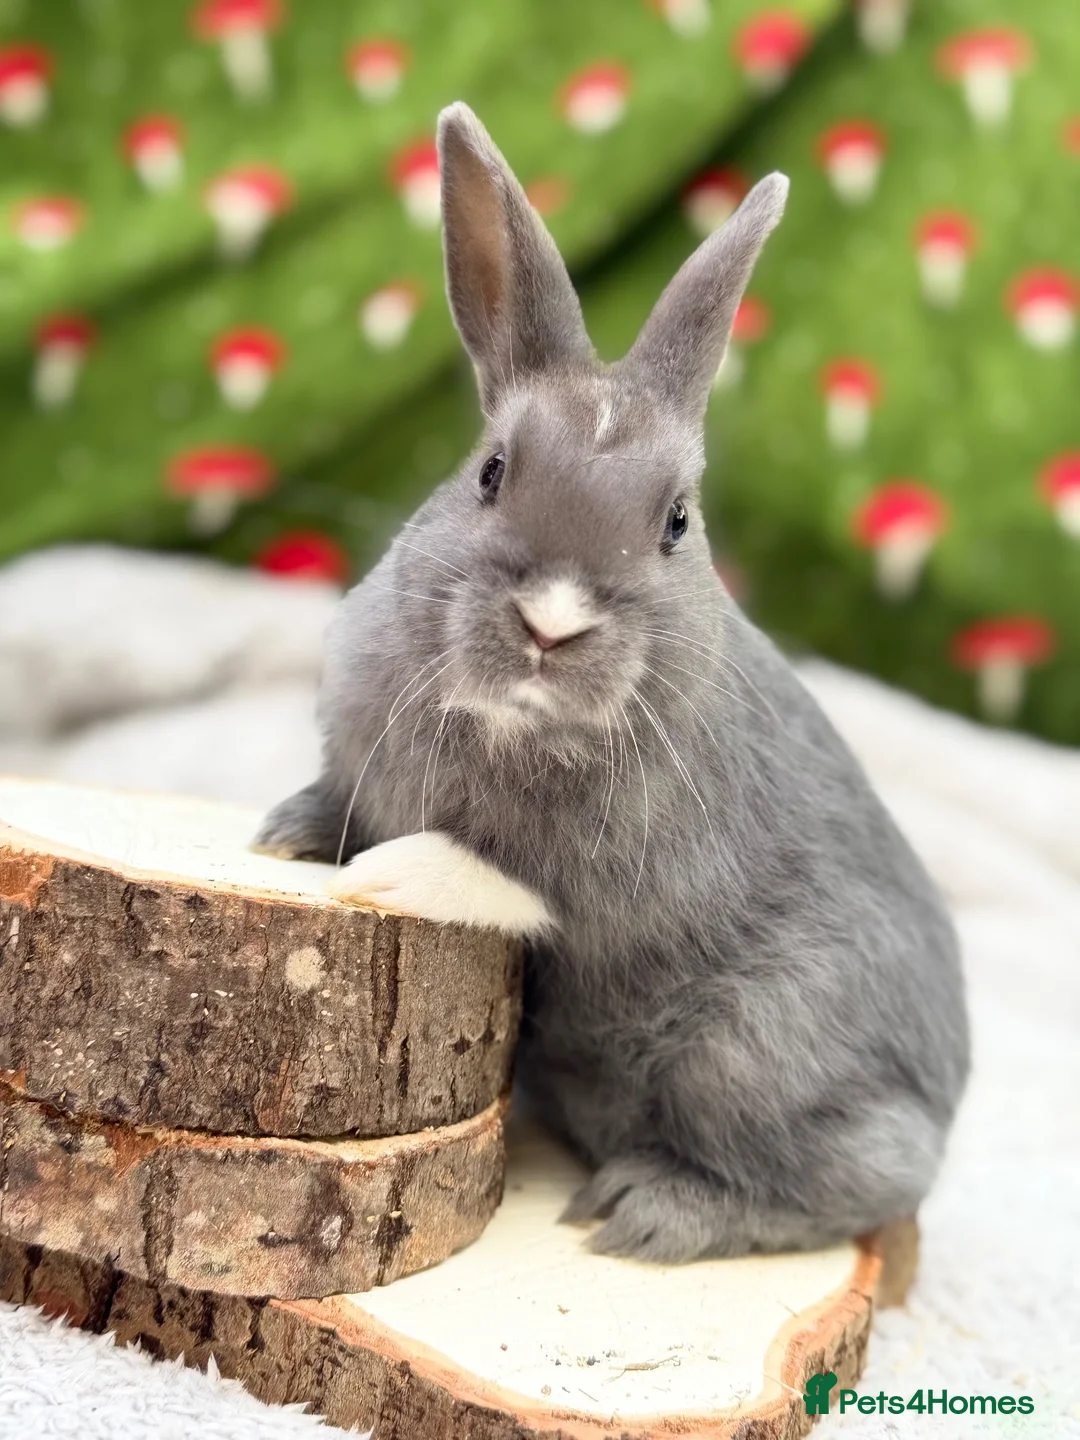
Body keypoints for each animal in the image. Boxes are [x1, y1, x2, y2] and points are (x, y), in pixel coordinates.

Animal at [257, 102, 970, 1262]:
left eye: (676, 522)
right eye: (491, 471)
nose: (553, 623)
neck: (516, 721)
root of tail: (944, 1094)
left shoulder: (611, 884)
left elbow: (504, 882)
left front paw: (393, 875)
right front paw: (284, 836)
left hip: (747, 1055)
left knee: (862, 1182)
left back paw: (646, 1209)